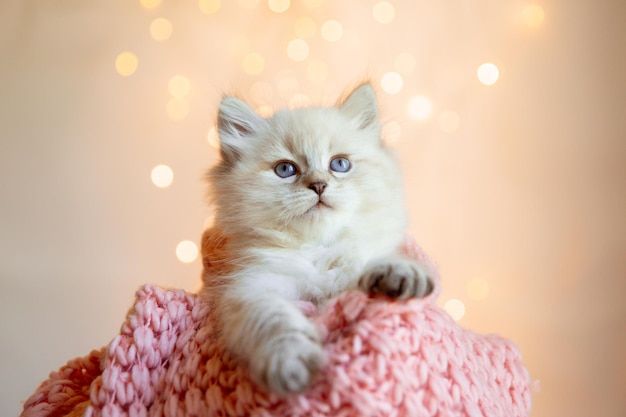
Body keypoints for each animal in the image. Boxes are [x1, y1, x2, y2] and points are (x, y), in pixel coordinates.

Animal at [202, 83, 432, 394]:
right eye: (285, 169)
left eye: (340, 164)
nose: (319, 185)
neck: (318, 248)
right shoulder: (252, 289)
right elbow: (276, 321)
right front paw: (292, 363)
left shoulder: (348, 278)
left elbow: (373, 265)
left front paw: (398, 274)